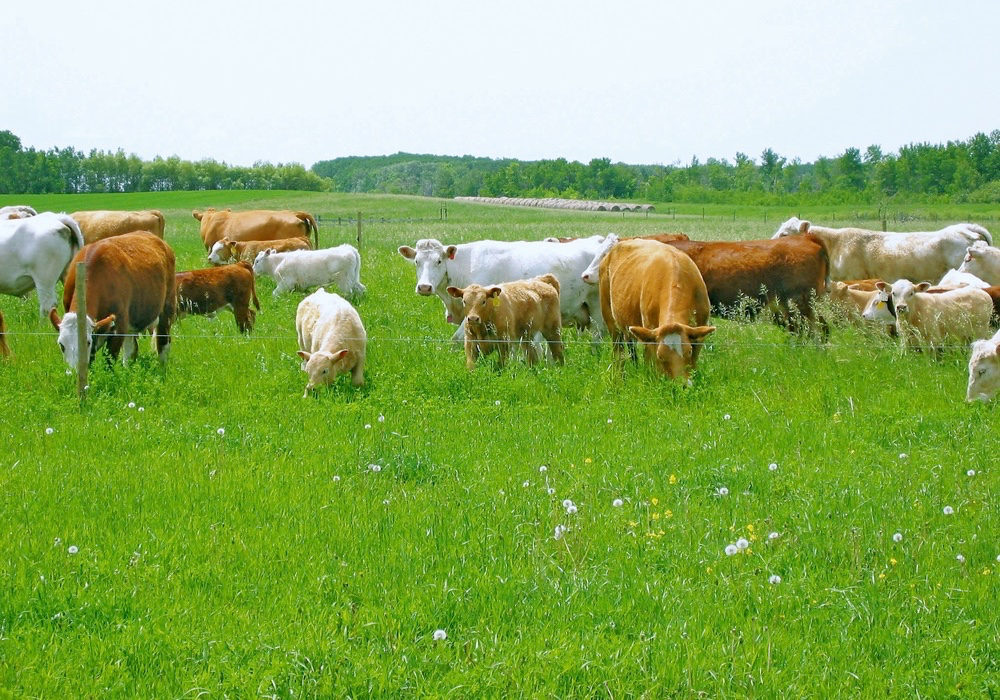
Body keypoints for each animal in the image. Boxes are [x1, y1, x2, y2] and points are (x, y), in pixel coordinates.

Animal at [49, 232, 176, 370]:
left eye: (87, 342)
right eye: (61, 344)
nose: (73, 372)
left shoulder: (119, 326)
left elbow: (109, 361)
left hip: (167, 310)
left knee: (163, 343)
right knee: (131, 349)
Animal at [596, 239, 716, 382]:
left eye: (689, 352)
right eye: (660, 356)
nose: (681, 384)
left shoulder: (699, 332)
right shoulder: (650, 333)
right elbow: (651, 364)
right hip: (610, 320)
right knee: (618, 353)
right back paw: (619, 378)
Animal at [860, 278, 992, 352]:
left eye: (911, 293)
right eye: (893, 293)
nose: (901, 307)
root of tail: (981, 292)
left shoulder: (934, 339)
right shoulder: (905, 340)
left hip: (981, 330)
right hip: (965, 334)